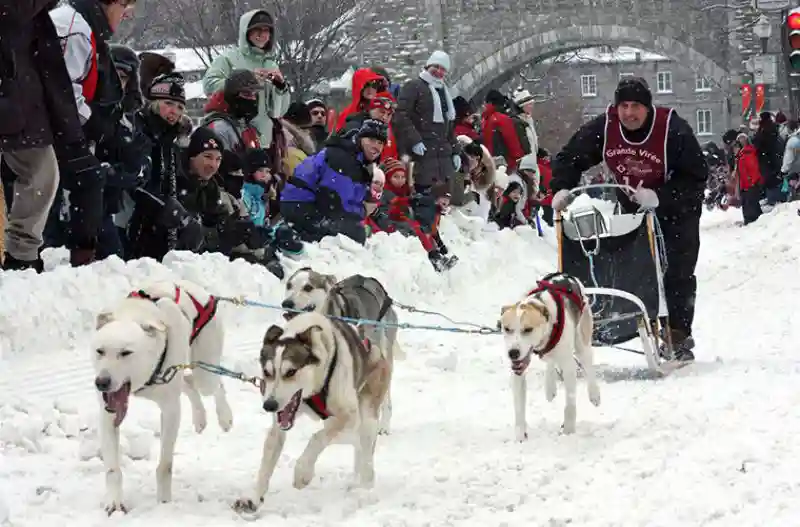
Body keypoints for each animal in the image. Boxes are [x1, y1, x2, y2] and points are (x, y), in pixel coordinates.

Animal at [92, 280, 234, 516]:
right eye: (100, 351)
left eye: (126, 352)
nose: (101, 382)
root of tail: (198, 289)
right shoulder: (107, 413)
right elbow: (113, 469)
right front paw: (114, 502)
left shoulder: (170, 410)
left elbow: (165, 465)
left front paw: (164, 502)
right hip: (179, 374)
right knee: (188, 383)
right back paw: (200, 418)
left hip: (204, 372)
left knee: (214, 384)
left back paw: (225, 417)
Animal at [233, 312, 392, 512]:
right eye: (267, 372)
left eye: (290, 371)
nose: (269, 405)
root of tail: (376, 348)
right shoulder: (279, 427)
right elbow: (266, 462)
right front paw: (253, 497)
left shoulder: (348, 417)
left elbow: (316, 438)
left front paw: (302, 473)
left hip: (367, 416)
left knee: (364, 453)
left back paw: (364, 488)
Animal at [282, 266, 406, 436]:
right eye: (289, 285)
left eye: (308, 287)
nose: (286, 303)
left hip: (383, 355)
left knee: (385, 398)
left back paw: (384, 425)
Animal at [496, 272, 604, 438]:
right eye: (507, 328)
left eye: (528, 329)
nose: (513, 353)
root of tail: (566, 275)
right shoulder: (518, 372)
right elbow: (519, 408)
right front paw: (520, 436)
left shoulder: (568, 365)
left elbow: (570, 404)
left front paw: (568, 431)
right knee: (550, 361)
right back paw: (550, 387)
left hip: (582, 340)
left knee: (587, 363)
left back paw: (594, 394)